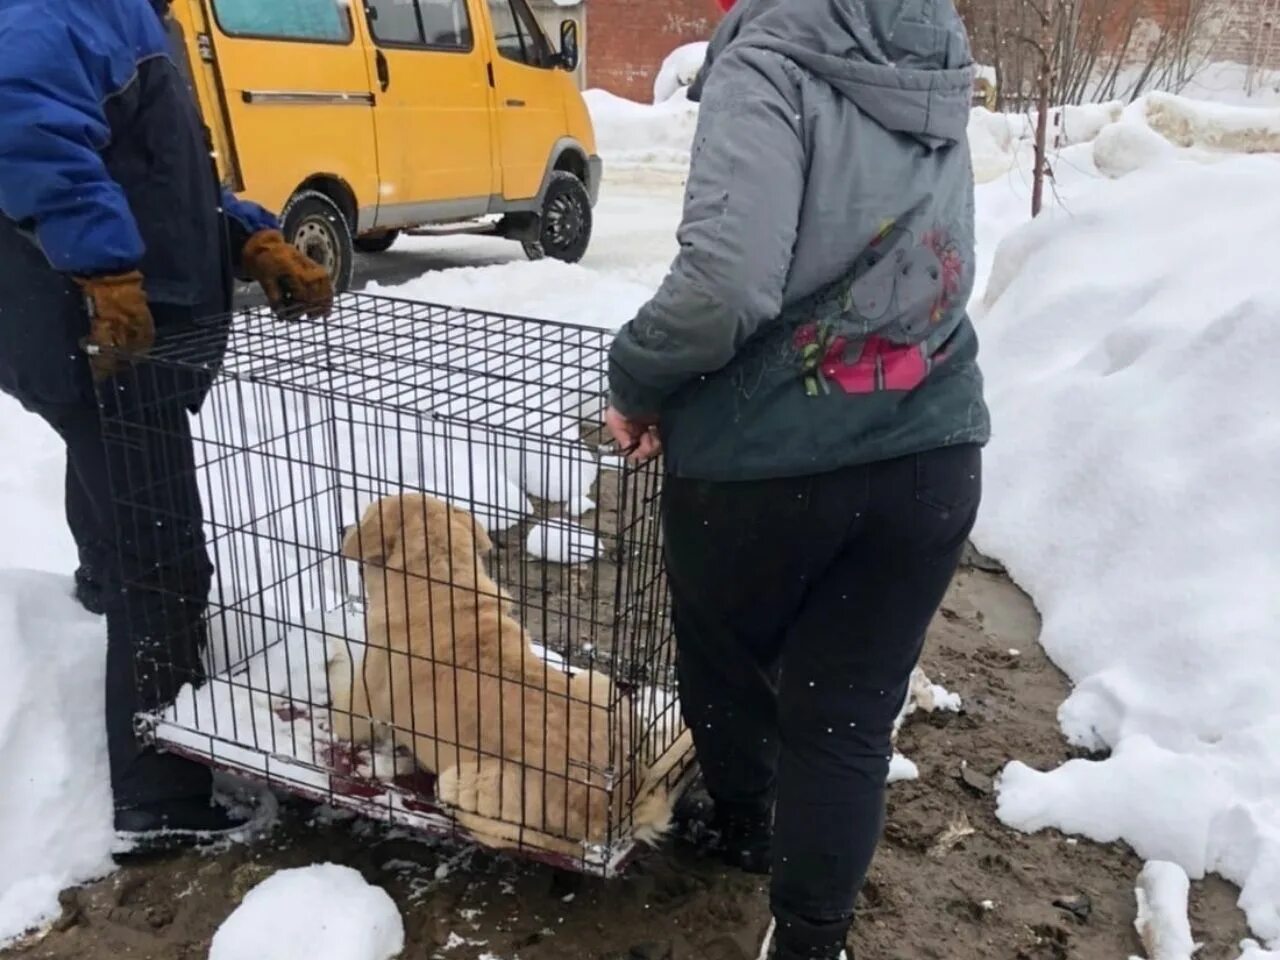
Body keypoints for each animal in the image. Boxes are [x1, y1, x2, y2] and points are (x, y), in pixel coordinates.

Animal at [327, 496, 680, 855]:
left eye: (365, 513)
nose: (341, 527)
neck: (439, 579)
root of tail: (619, 805)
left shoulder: (358, 711)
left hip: (463, 781)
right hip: (597, 683)